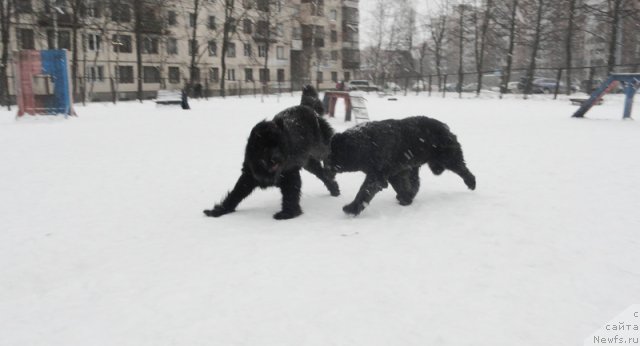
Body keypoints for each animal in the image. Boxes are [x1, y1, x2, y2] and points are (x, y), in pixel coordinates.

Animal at [204, 86, 340, 219]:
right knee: (322, 174)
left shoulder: (289, 173)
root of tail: (305, 106)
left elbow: (290, 195)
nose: (277, 158)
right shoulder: (249, 175)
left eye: (279, 146)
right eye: (264, 148)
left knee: (329, 150)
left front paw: (288, 213)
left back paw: (334, 167)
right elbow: (235, 194)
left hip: (319, 146)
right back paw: (334, 189)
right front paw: (218, 210)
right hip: (309, 162)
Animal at [330, 116, 476, 216]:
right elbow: (401, 187)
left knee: (463, 170)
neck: (367, 144)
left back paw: (471, 183)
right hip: (413, 166)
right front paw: (406, 199)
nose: (327, 164)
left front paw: (352, 208)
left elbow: (364, 191)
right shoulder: (394, 173)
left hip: (449, 159)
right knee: (416, 183)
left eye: (335, 152)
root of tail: (446, 128)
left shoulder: (377, 175)